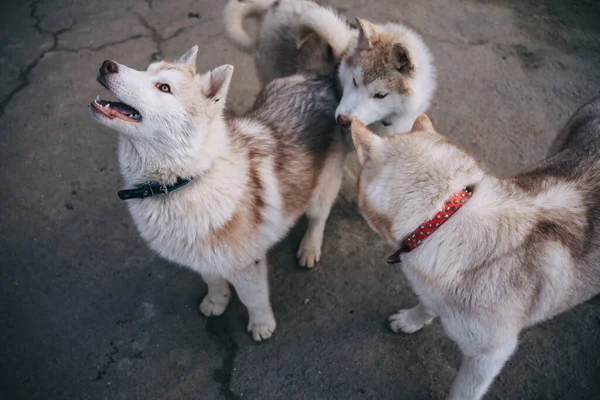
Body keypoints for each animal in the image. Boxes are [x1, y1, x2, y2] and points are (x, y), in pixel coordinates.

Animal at [87, 47, 344, 340]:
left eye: (164, 87)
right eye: (147, 69)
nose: (107, 65)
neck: (184, 181)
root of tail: (318, 78)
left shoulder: (245, 263)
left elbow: (253, 298)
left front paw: (262, 325)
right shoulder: (203, 256)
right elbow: (213, 282)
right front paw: (216, 302)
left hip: (322, 189)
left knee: (318, 218)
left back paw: (309, 248)